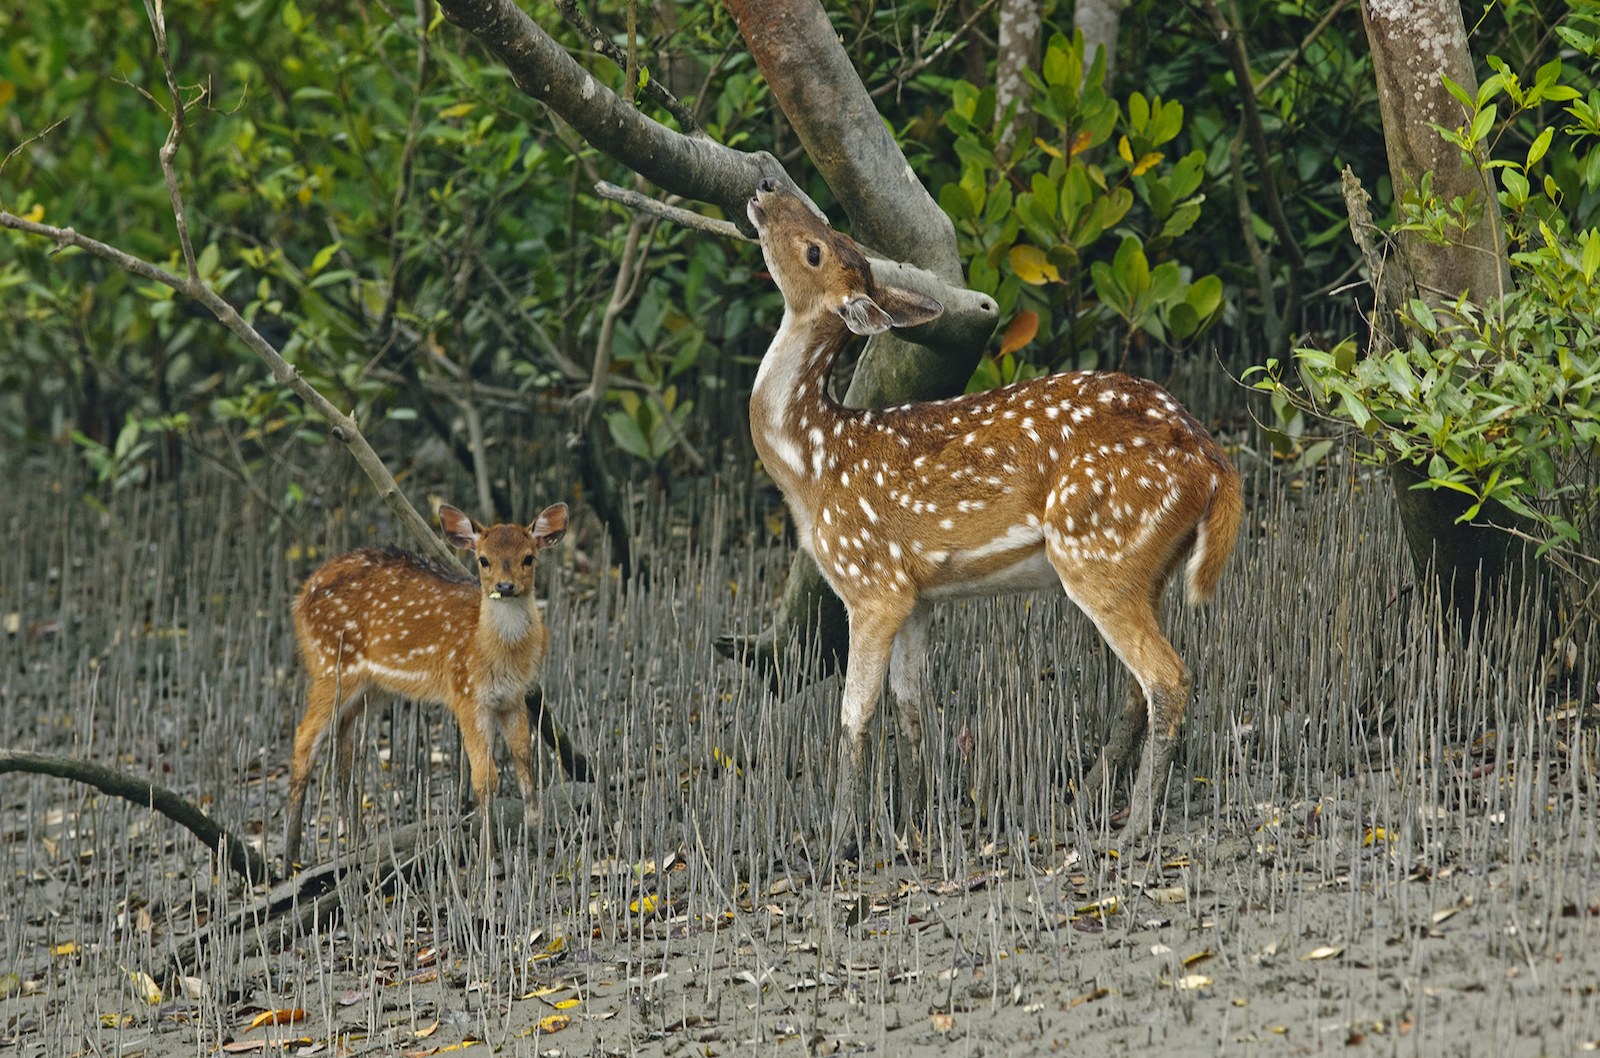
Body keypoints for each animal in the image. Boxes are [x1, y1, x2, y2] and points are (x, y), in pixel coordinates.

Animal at [284, 501, 568, 873]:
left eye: (529, 557)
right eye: (483, 559)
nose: (505, 586)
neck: (494, 651)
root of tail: (300, 597)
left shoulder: (513, 697)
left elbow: (525, 764)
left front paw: (539, 842)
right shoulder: (466, 693)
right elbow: (485, 776)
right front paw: (489, 860)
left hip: (372, 687)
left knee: (344, 742)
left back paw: (355, 843)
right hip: (331, 665)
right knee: (304, 738)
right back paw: (291, 857)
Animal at [745, 178, 1242, 853]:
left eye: (815, 248)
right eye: (836, 231)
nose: (767, 188)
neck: (813, 466)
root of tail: (1214, 463)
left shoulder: (869, 582)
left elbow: (853, 719)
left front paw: (838, 844)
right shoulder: (915, 594)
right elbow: (911, 709)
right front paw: (912, 825)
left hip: (1098, 552)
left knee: (1168, 678)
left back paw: (1135, 824)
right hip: (1146, 565)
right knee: (1138, 688)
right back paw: (1083, 800)